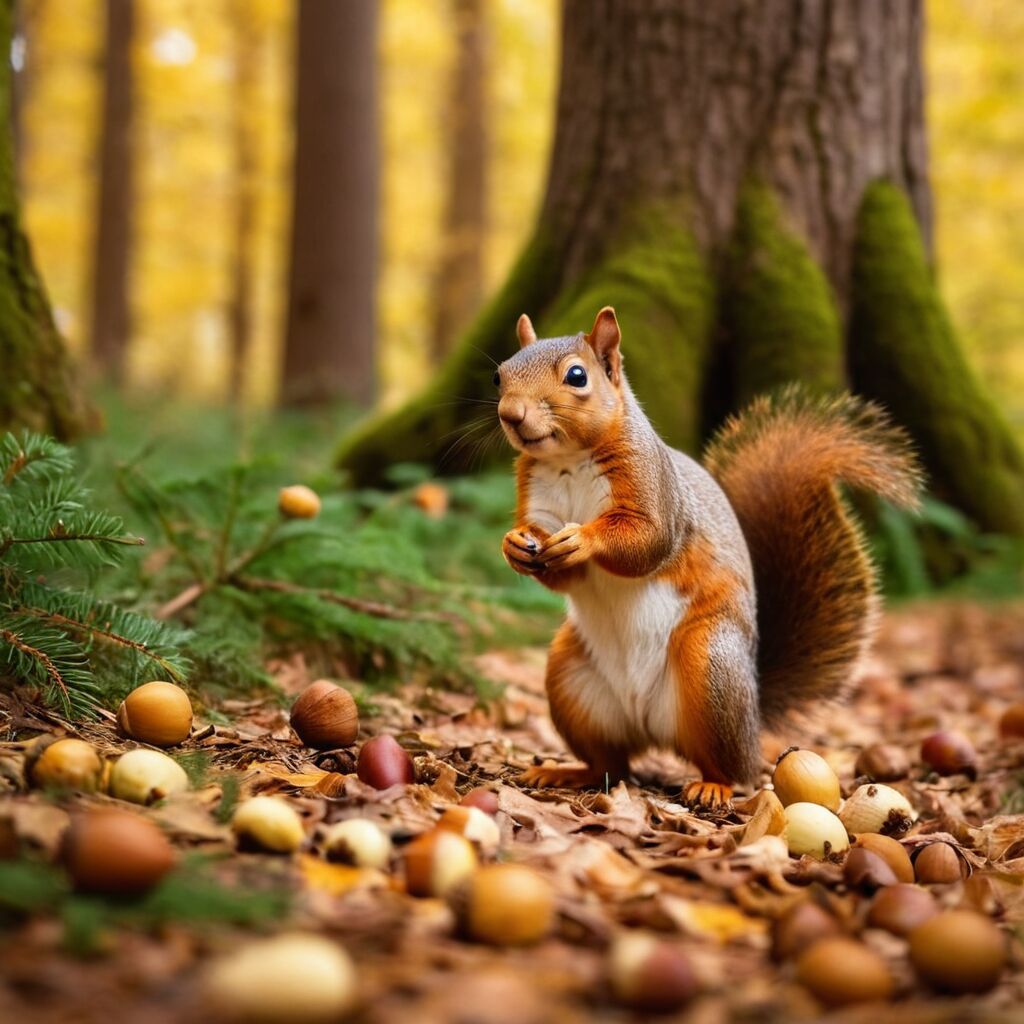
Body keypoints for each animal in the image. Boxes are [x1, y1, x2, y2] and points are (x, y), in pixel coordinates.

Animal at [497, 306, 921, 807]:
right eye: (500, 373)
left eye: (577, 376)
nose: (510, 415)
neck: (567, 460)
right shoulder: (539, 502)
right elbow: (561, 570)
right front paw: (513, 544)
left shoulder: (655, 490)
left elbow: (647, 541)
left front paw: (583, 539)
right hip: (570, 677)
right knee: (610, 764)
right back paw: (568, 772)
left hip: (710, 665)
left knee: (732, 765)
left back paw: (713, 786)